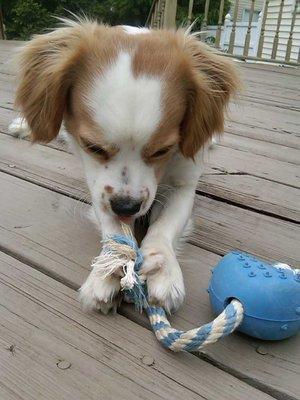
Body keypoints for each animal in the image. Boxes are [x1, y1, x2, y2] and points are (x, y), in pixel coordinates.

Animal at [9, 18, 239, 314]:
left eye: (163, 150)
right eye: (92, 147)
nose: (126, 207)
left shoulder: (184, 185)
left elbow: (165, 226)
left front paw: (163, 267)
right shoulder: (98, 188)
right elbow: (113, 228)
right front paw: (107, 269)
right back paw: (22, 125)